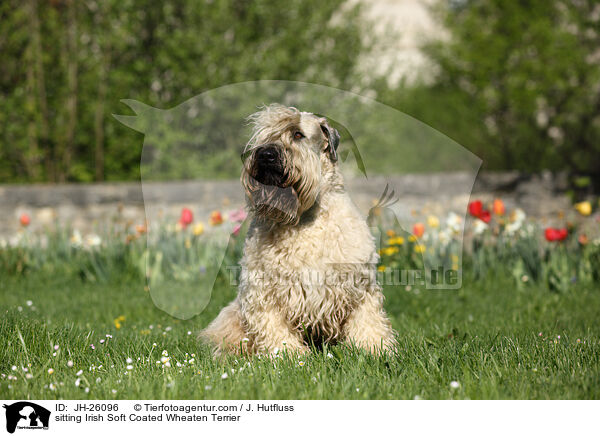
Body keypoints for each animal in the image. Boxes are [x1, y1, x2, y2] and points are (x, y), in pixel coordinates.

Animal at [204, 104, 396, 354]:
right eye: (263, 134)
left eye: (297, 134)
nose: (265, 154)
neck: (304, 219)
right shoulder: (262, 290)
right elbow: (273, 326)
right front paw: (287, 354)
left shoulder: (359, 284)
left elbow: (367, 319)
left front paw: (374, 348)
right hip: (232, 315)